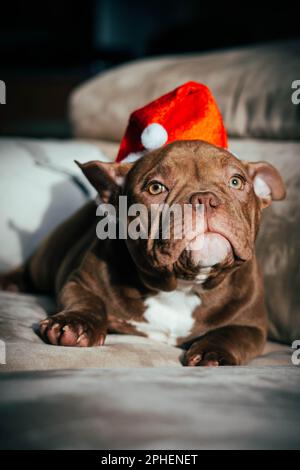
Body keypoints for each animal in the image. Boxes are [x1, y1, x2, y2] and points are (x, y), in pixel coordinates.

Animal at [0, 141, 286, 366]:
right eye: (155, 188)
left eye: (237, 181)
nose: (204, 198)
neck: (182, 286)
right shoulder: (80, 282)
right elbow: (86, 302)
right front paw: (74, 324)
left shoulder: (252, 324)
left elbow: (233, 335)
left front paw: (213, 353)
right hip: (48, 256)